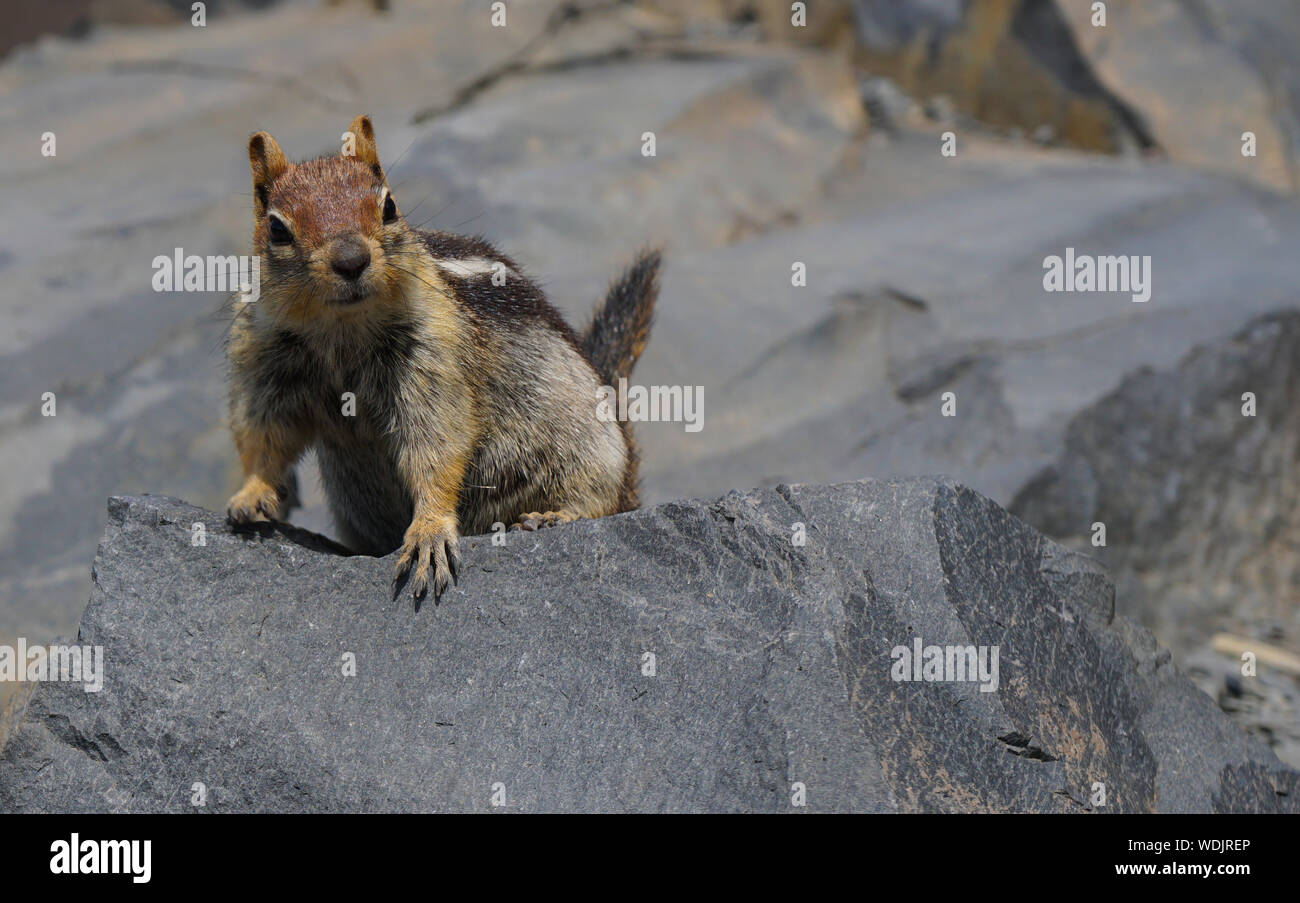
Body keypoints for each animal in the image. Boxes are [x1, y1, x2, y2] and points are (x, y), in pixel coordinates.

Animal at [222, 114, 660, 608]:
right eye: (277, 228)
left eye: (389, 206)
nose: (351, 259)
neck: (341, 329)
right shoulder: (263, 360)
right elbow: (263, 435)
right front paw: (251, 494)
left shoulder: (432, 358)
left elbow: (436, 445)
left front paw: (429, 530)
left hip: (591, 451)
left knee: (600, 501)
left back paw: (553, 515)